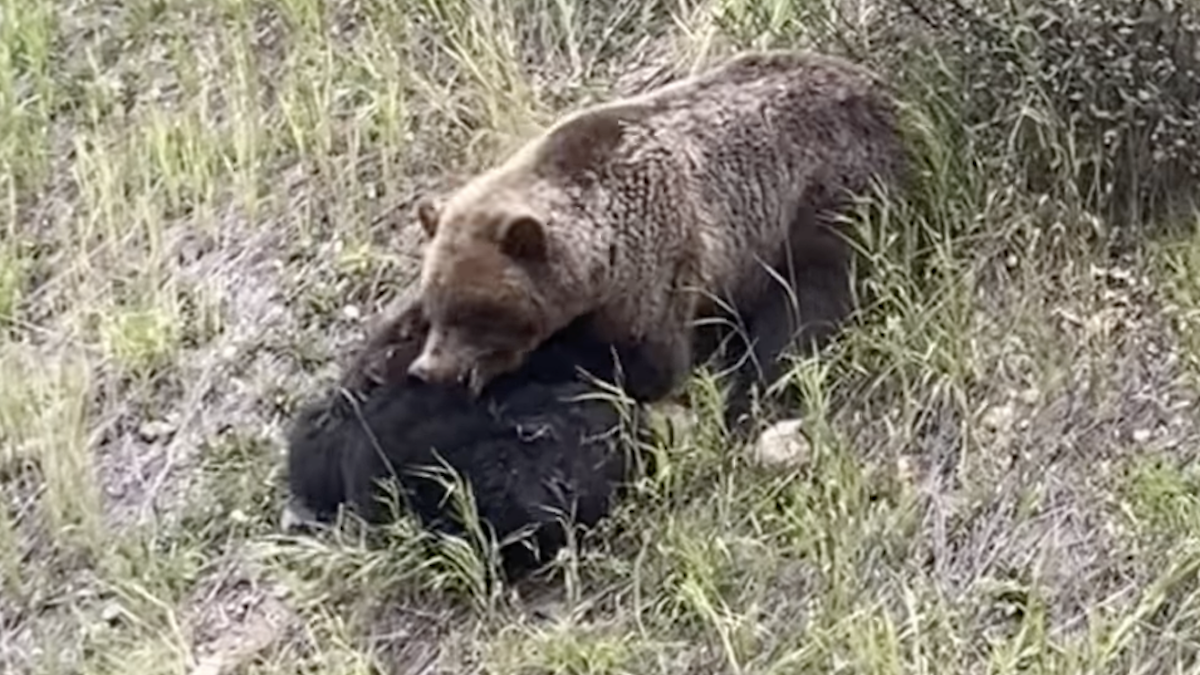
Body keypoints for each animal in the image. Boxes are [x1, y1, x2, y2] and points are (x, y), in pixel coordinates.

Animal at [406, 49, 908, 432]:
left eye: (474, 311)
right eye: (434, 306)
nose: (429, 371)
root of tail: (876, 85)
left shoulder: (657, 264)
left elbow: (652, 363)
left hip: (822, 197)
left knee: (808, 305)